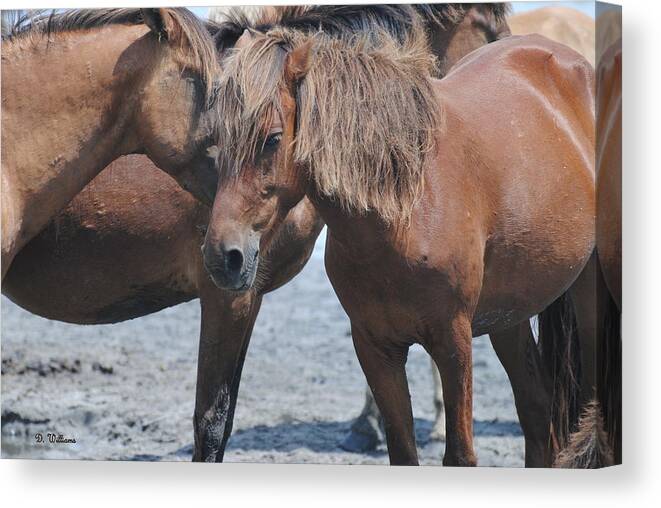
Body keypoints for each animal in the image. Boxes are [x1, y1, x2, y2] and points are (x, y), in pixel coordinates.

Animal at [205, 29, 592, 466]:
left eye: (272, 139)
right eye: (217, 140)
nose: (223, 257)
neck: (404, 213)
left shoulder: (453, 342)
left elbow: (460, 455)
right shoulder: (377, 349)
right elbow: (403, 452)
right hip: (509, 318)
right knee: (537, 412)